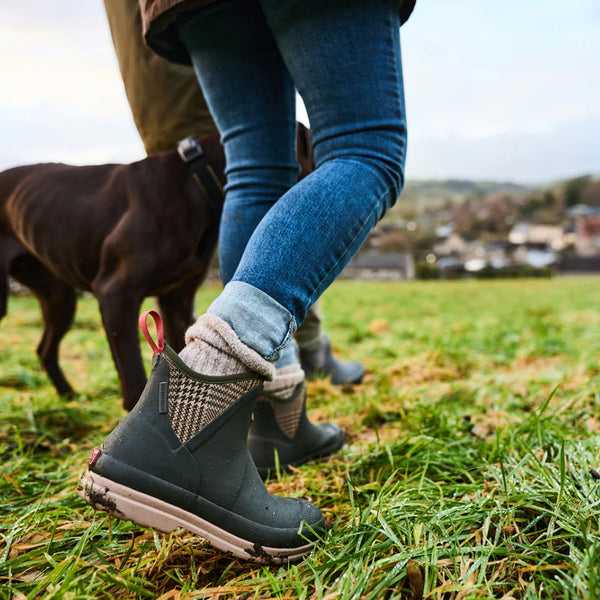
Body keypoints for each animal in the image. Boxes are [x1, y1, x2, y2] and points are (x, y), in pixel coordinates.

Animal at [0, 124, 312, 410]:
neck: (195, 181)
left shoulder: (177, 299)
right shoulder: (116, 294)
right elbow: (132, 372)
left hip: (60, 299)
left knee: (44, 349)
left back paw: (67, 395)